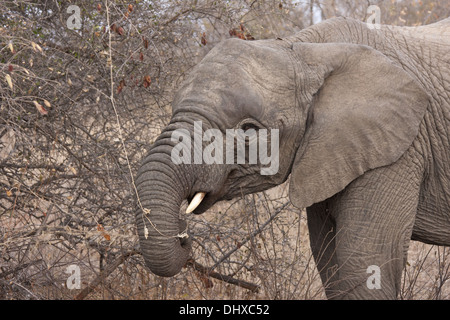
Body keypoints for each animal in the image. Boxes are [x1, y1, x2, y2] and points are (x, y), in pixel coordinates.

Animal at [135, 16, 450, 298]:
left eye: (248, 130)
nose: (183, 234)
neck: (305, 51)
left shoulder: (399, 150)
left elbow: (364, 264)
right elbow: (329, 262)